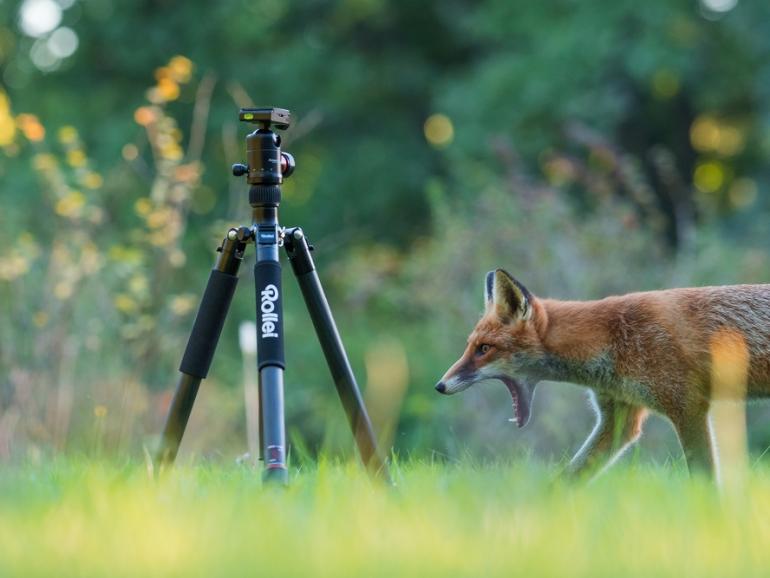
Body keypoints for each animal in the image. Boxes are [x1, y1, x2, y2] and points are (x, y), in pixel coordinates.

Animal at [432, 268, 768, 476]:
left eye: (484, 349)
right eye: (470, 345)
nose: (439, 386)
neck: (612, 341)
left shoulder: (688, 407)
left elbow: (705, 479)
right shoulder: (619, 418)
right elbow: (565, 479)